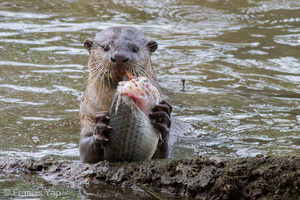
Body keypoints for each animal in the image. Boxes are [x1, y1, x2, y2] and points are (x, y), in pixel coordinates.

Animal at [78, 25, 171, 163]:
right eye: (105, 47)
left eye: (135, 48)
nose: (119, 56)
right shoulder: (87, 116)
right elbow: (86, 152)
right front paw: (100, 128)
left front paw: (163, 117)